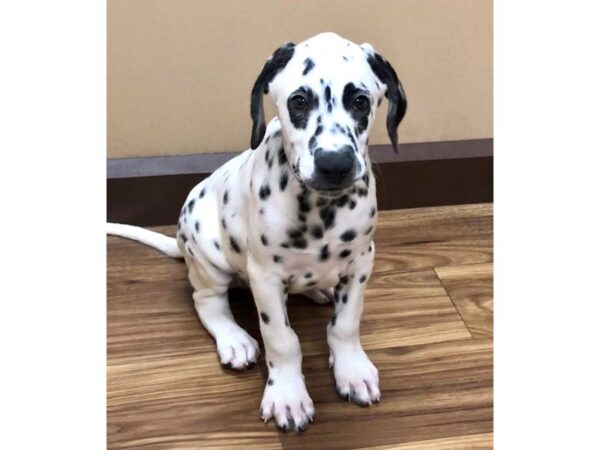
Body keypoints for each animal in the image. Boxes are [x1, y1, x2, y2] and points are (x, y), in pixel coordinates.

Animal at [108, 32, 408, 432]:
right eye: (299, 101)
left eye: (361, 101)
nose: (334, 164)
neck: (321, 211)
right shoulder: (265, 277)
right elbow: (282, 340)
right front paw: (288, 396)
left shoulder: (361, 263)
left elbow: (346, 324)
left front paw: (352, 370)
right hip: (209, 256)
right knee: (206, 301)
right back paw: (235, 339)